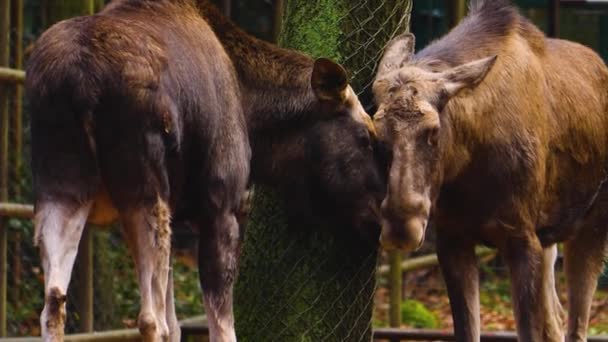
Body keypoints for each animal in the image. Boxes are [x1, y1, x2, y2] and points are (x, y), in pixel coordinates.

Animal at [27, 1, 384, 340]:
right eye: (367, 136)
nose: (381, 218)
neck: (253, 113)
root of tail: (81, 82)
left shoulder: (178, 214)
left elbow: (177, 325)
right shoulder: (221, 206)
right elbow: (221, 326)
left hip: (60, 188)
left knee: (53, 304)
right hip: (143, 191)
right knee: (150, 320)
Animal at [372, 0, 608, 342]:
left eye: (433, 131)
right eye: (376, 132)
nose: (402, 226)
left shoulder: (522, 238)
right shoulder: (453, 239)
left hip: (592, 225)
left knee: (576, 326)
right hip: (551, 237)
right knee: (556, 320)